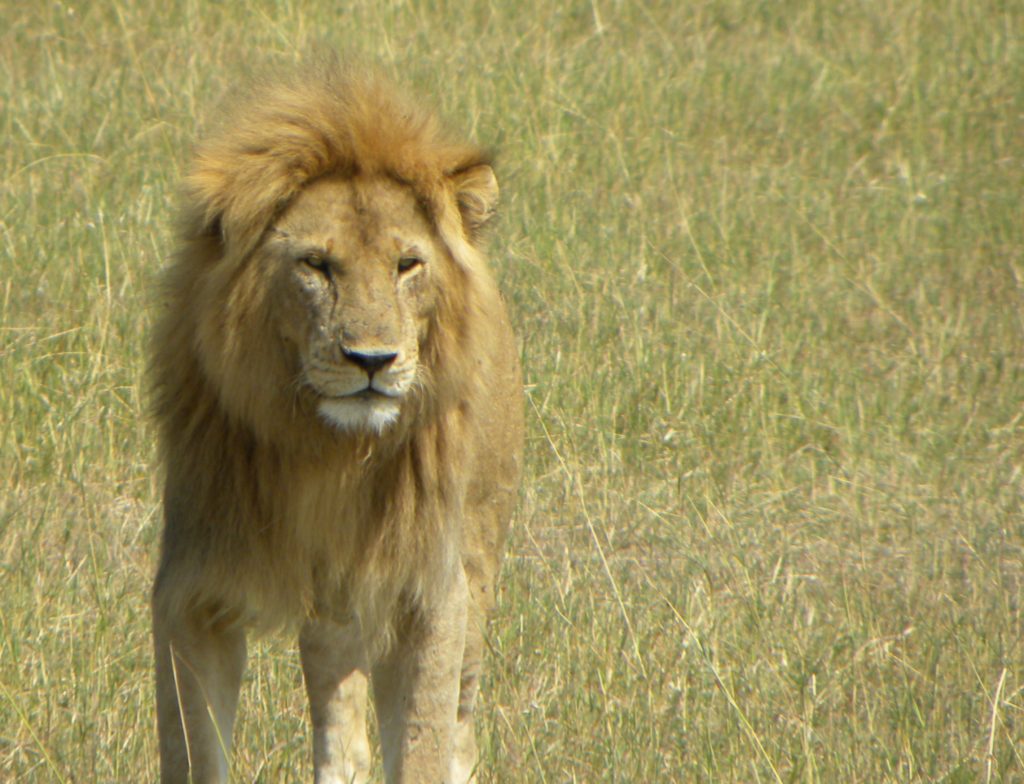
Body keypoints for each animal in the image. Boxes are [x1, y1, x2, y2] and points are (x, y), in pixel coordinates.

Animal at [148, 62, 524, 784]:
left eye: (408, 265)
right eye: (316, 266)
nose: (372, 361)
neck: (328, 452)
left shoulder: (431, 589)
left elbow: (423, 746)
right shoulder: (192, 584)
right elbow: (193, 748)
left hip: (476, 562)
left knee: (458, 723)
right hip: (334, 608)